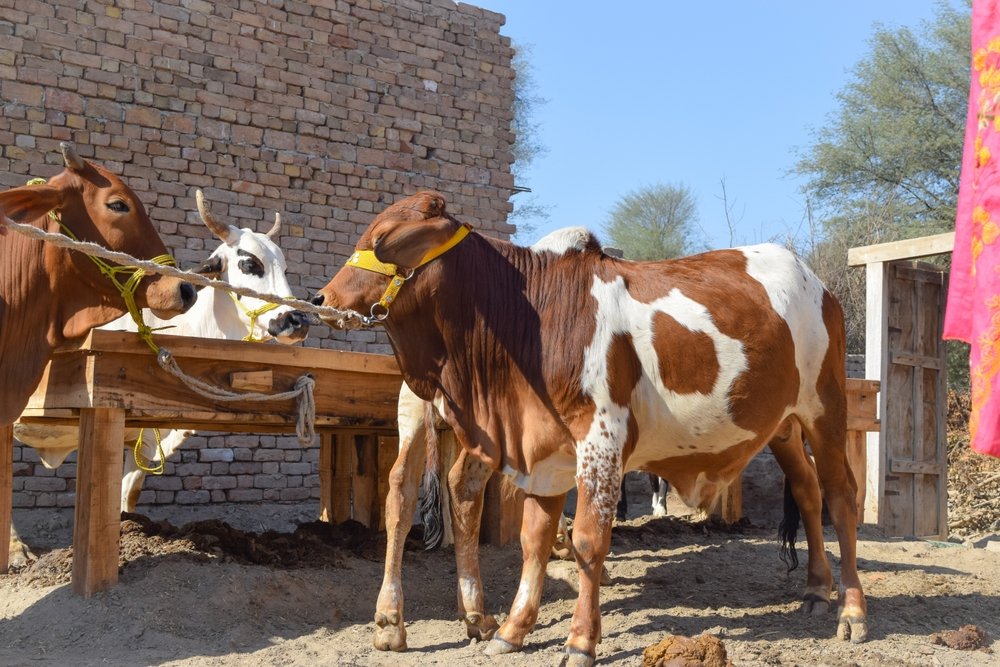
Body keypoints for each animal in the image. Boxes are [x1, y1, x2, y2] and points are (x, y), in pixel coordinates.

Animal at [313, 191, 867, 665]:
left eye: (385, 237)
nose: (321, 298)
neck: (533, 318)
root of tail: (817, 284)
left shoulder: (600, 438)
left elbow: (586, 541)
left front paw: (580, 641)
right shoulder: (543, 451)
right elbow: (534, 539)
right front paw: (513, 631)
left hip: (826, 408)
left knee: (841, 495)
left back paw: (852, 611)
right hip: (784, 425)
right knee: (808, 491)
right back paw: (817, 590)